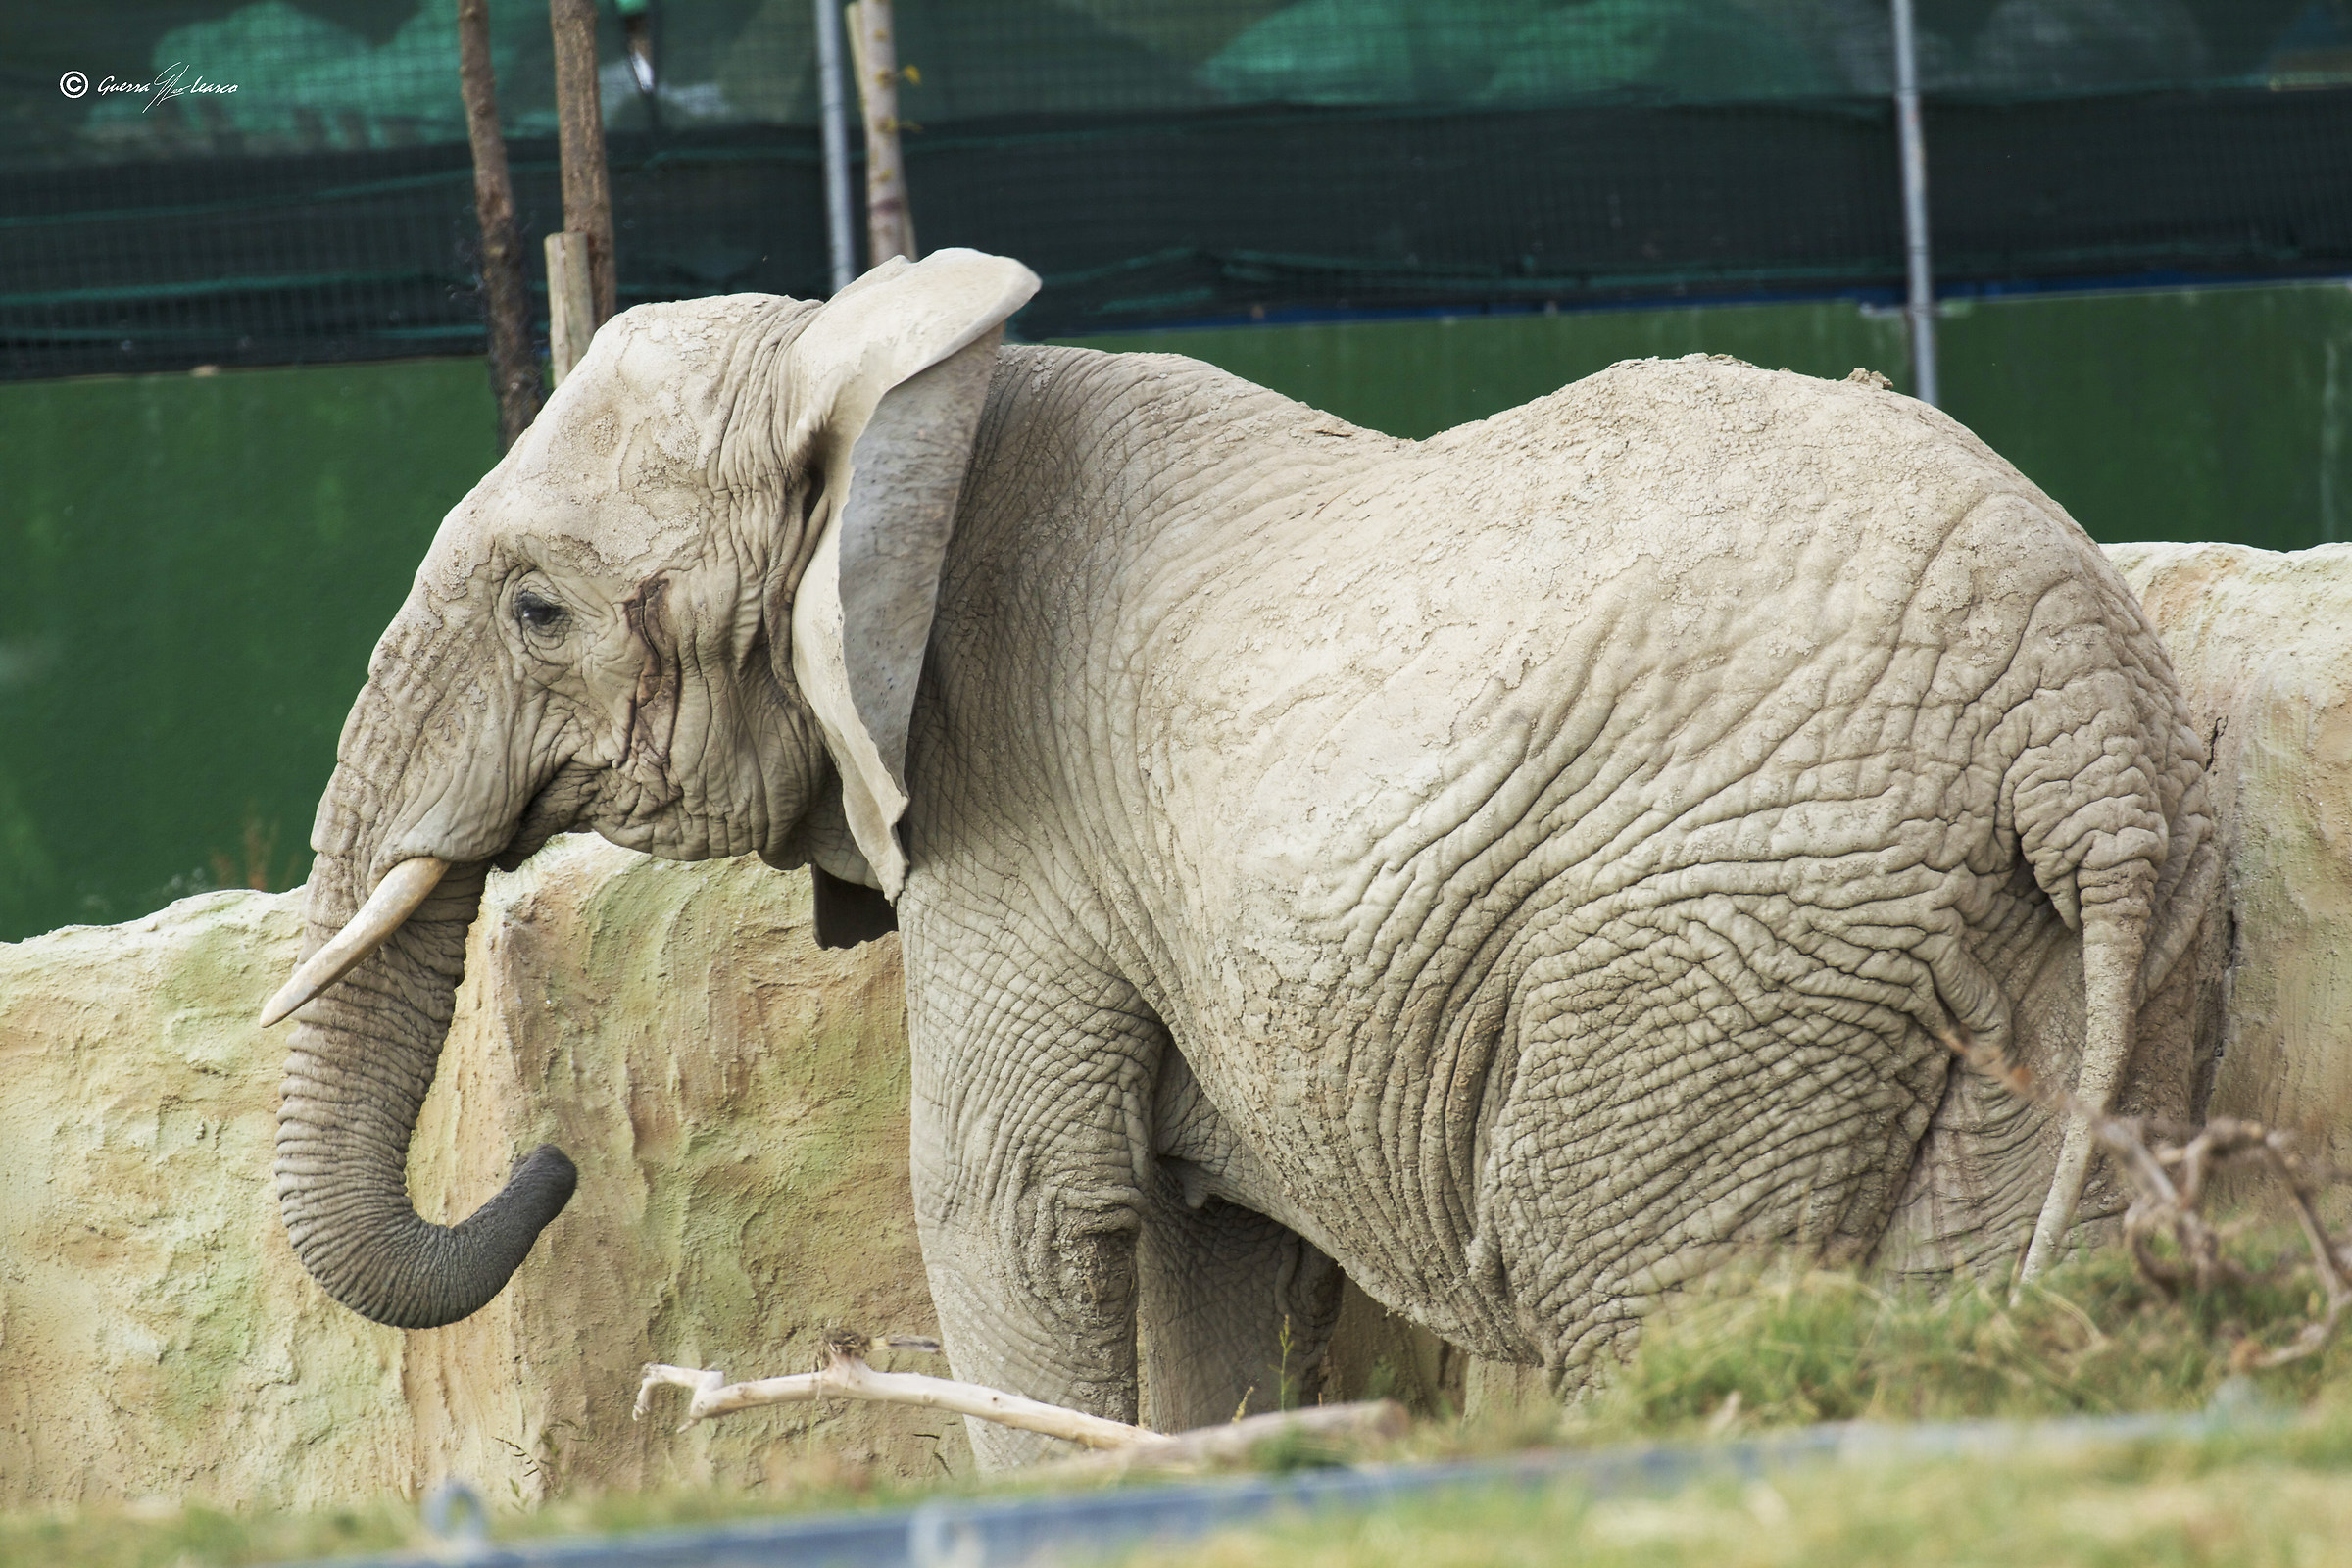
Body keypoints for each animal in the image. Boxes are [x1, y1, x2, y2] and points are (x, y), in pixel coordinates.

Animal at [264, 249, 2215, 1466]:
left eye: (538, 611)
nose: (550, 1161)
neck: (903, 376)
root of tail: (2078, 719)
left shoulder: (1017, 824)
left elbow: (1015, 1211)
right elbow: (1215, 1252)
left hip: (1725, 947)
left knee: (1638, 1303)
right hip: (2055, 931)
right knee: (1968, 1288)